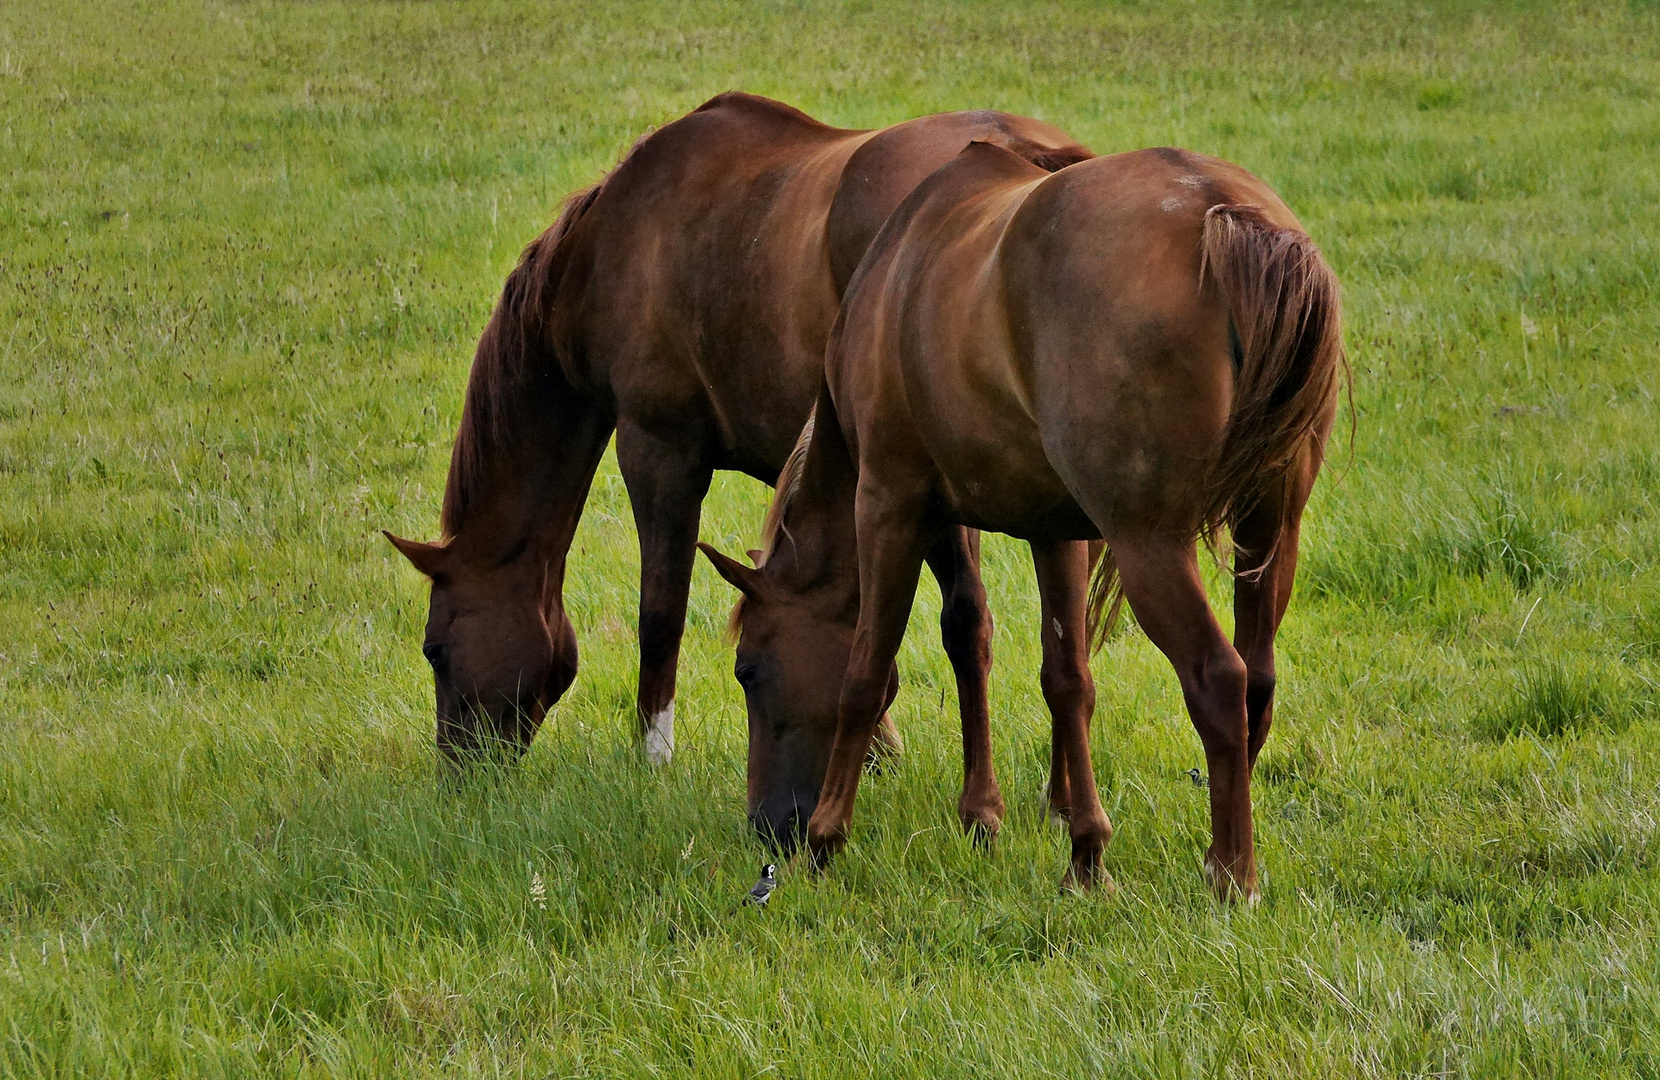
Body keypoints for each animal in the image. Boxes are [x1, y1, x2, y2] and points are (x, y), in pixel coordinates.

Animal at [381, 92, 1095, 789]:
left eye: (434, 650)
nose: (458, 773)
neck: (612, 245)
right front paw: (873, 750)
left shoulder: (658, 452)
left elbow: (662, 611)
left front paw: (655, 760)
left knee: (971, 622)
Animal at [693, 143, 1341, 902]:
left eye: (749, 670)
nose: (767, 828)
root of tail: (1230, 216)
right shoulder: (1057, 531)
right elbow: (1066, 680)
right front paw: (1084, 853)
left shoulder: (889, 503)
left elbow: (865, 673)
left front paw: (828, 840)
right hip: (1269, 532)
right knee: (1257, 679)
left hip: (1151, 545)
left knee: (1219, 678)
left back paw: (1231, 872)